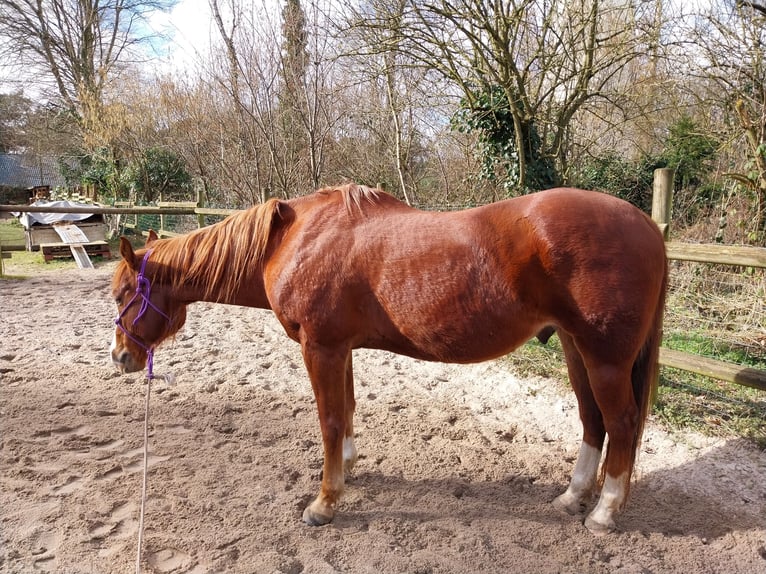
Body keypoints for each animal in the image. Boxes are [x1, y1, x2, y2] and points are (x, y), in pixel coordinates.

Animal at [110, 184, 668, 535]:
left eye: (121, 295)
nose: (120, 358)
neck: (293, 240)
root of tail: (647, 225)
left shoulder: (321, 347)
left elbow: (330, 419)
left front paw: (323, 504)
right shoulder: (339, 348)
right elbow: (347, 410)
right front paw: (347, 472)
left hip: (605, 358)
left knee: (621, 422)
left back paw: (603, 513)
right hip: (577, 349)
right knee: (593, 421)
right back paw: (573, 499)